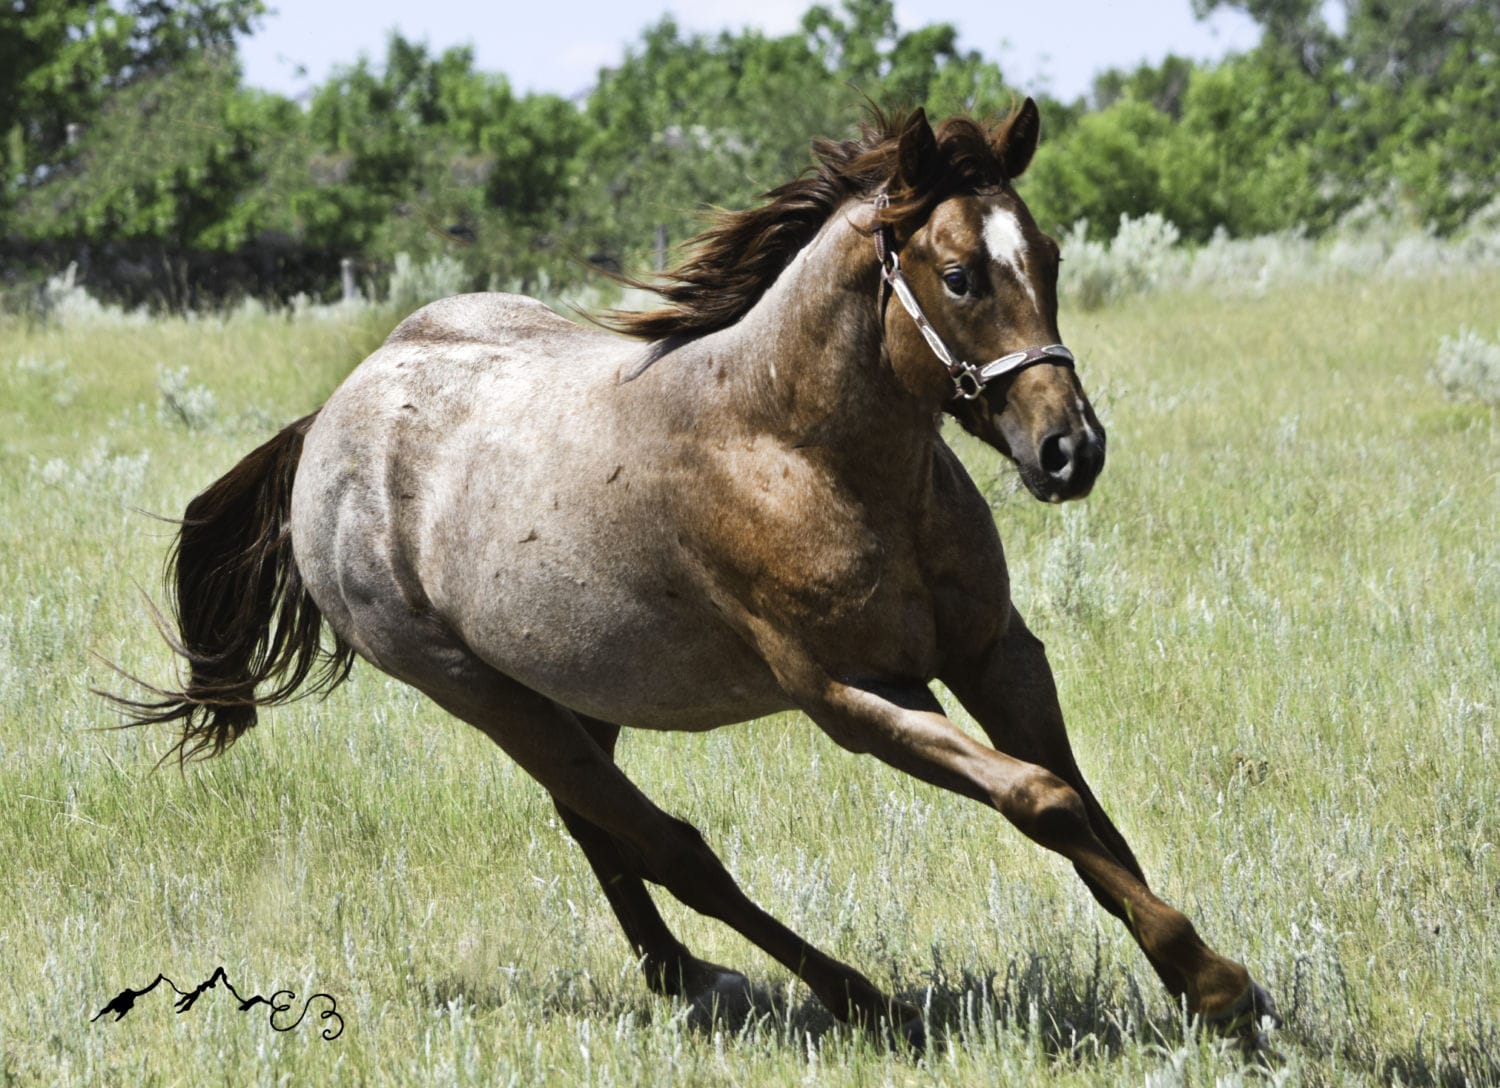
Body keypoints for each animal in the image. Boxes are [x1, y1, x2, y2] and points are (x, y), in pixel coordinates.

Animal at [113, 100, 1275, 1047]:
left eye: (1050, 254)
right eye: (960, 276)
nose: (1070, 451)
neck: (802, 446)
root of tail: (332, 423)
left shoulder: (996, 654)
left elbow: (1086, 809)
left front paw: (1207, 987)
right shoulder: (856, 697)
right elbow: (1042, 799)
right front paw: (1217, 984)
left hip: (578, 685)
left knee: (598, 823)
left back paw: (684, 975)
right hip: (480, 691)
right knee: (669, 844)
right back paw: (848, 997)